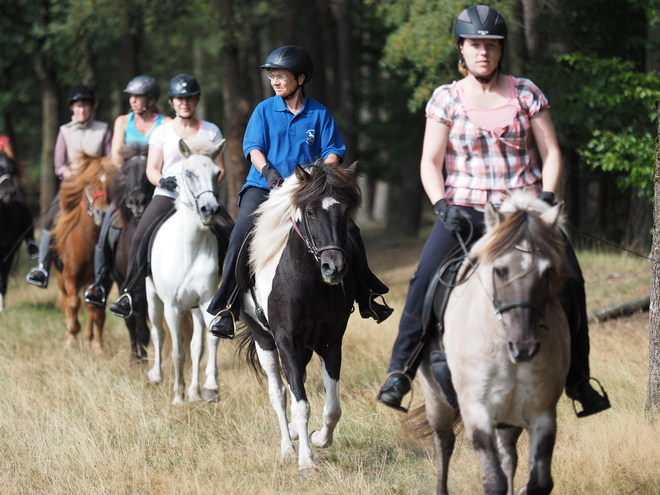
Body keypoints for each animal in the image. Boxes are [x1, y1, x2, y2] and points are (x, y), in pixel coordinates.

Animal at [51, 155, 114, 352]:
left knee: (90, 306)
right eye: (88, 182)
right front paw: (72, 333)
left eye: (111, 183)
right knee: (67, 301)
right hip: (60, 277)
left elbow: (97, 310)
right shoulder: (70, 275)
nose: (102, 213)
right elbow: (73, 303)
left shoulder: (103, 280)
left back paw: (88, 338)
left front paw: (98, 346)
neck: (88, 241)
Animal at [147, 139, 232, 404]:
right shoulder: (173, 308)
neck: (189, 249)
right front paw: (178, 396)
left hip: (194, 307)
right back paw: (157, 376)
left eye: (217, 173)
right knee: (157, 333)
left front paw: (210, 387)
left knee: (197, 347)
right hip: (153, 298)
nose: (209, 210)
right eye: (189, 173)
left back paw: (194, 392)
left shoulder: (206, 301)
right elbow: (177, 352)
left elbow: (208, 341)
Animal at [420, 193, 568, 495]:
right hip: (436, 399)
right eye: (499, 271)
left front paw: (522, 490)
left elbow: (539, 482)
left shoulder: (542, 413)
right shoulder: (476, 410)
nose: (524, 347)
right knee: (444, 443)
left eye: (547, 272)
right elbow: (494, 481)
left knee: (508, 454)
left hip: (509, 417)